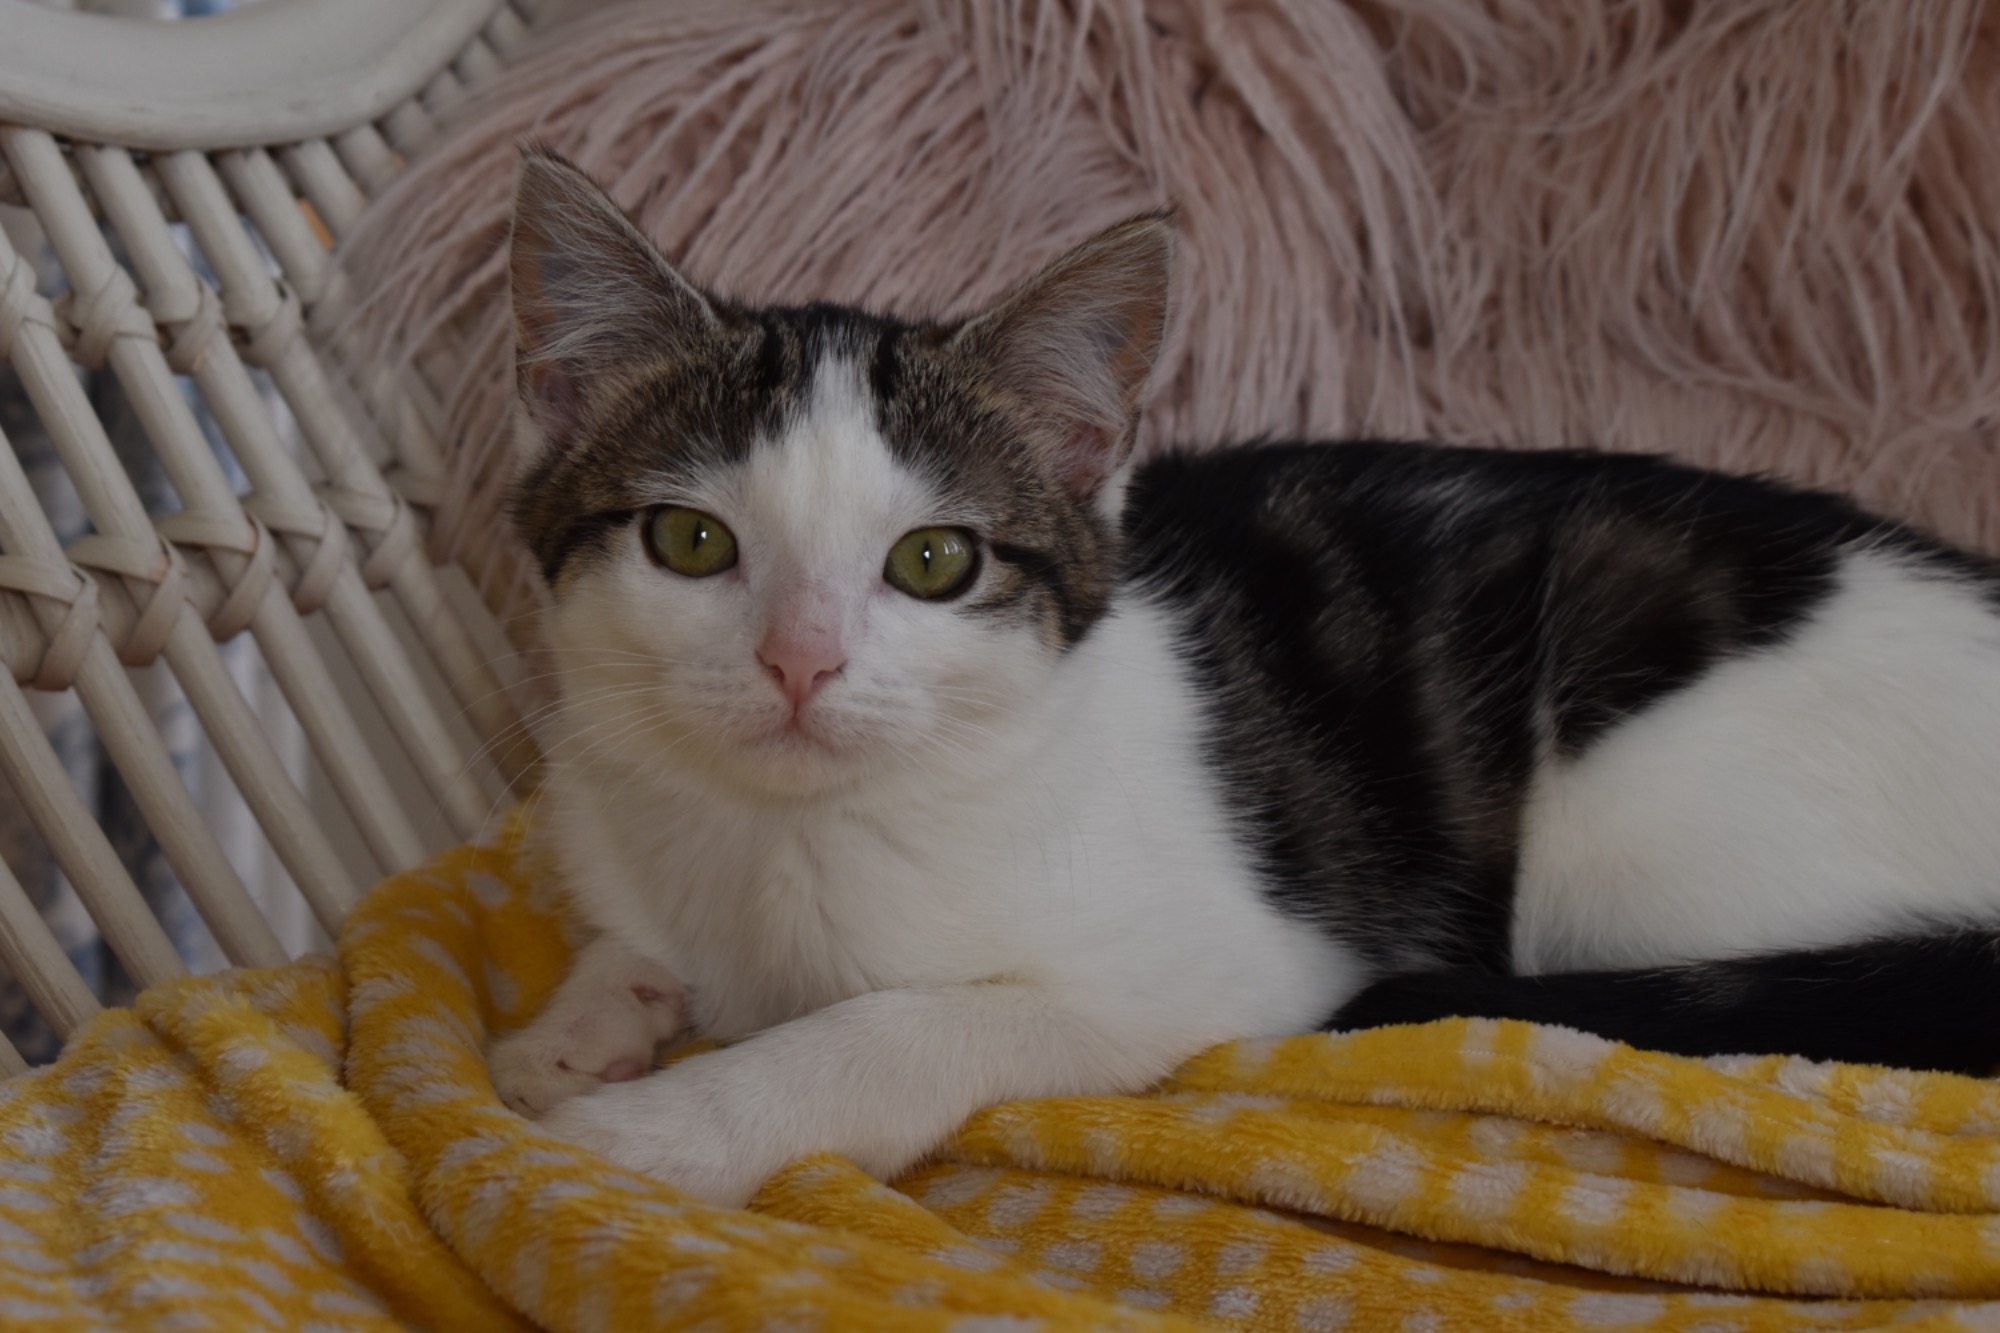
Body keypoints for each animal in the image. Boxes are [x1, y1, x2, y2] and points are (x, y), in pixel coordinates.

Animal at [487, 148, 2000, 1208]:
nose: (801, 660)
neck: (779, 837)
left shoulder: (1225, 959)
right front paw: (579, 1025)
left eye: (932, 562)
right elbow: (630, 937)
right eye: (691, 541)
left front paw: (665, 1127)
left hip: (1626, 854)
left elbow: (904, 1026)